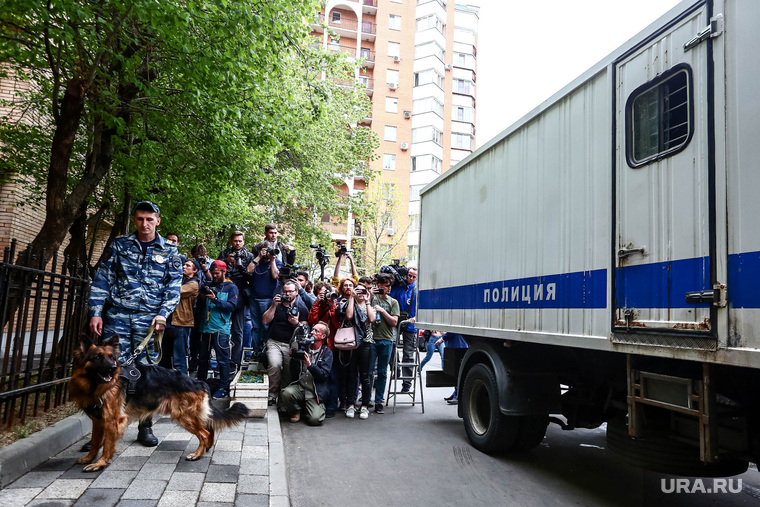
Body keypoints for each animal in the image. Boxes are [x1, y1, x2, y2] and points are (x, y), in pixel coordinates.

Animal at [70, 338, 249, 472]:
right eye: (98, 357)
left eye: (112, 357)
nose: (113, 368)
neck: (95, 384)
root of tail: (200, 382)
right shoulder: (98, 420)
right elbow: (95, 442)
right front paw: (89, 458)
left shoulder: (112, 421)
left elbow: (107, 445)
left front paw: (100, 463)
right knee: (209, 429)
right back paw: (205, 449)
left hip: (183, 416)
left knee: (204, 433)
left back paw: (197, 455)